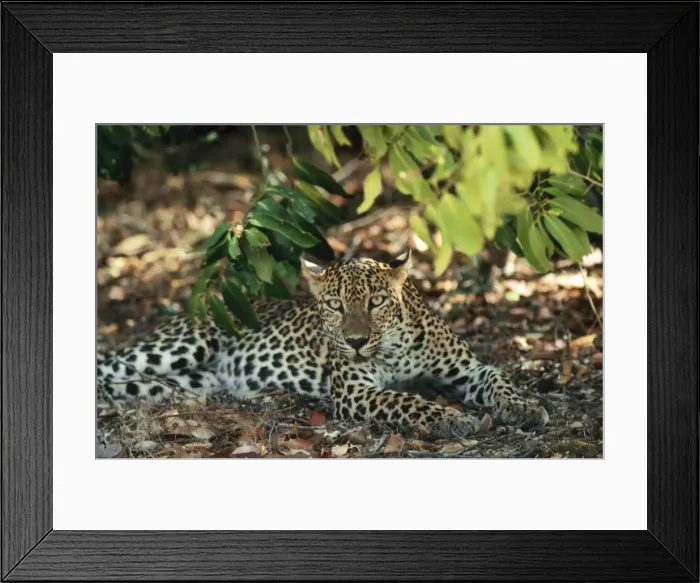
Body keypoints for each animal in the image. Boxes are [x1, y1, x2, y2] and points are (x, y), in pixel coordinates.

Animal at [97, 250, 549, 438]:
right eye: (334, 305)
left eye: (376, 301)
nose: (356, 342)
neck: (395, 344)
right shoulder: (355, 392)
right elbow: (405, 399)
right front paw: (448, 419)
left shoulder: (467, 370)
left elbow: (498, 376)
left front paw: (523, 407)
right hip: (182, 345)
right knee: (107, 365)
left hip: (184, 382)